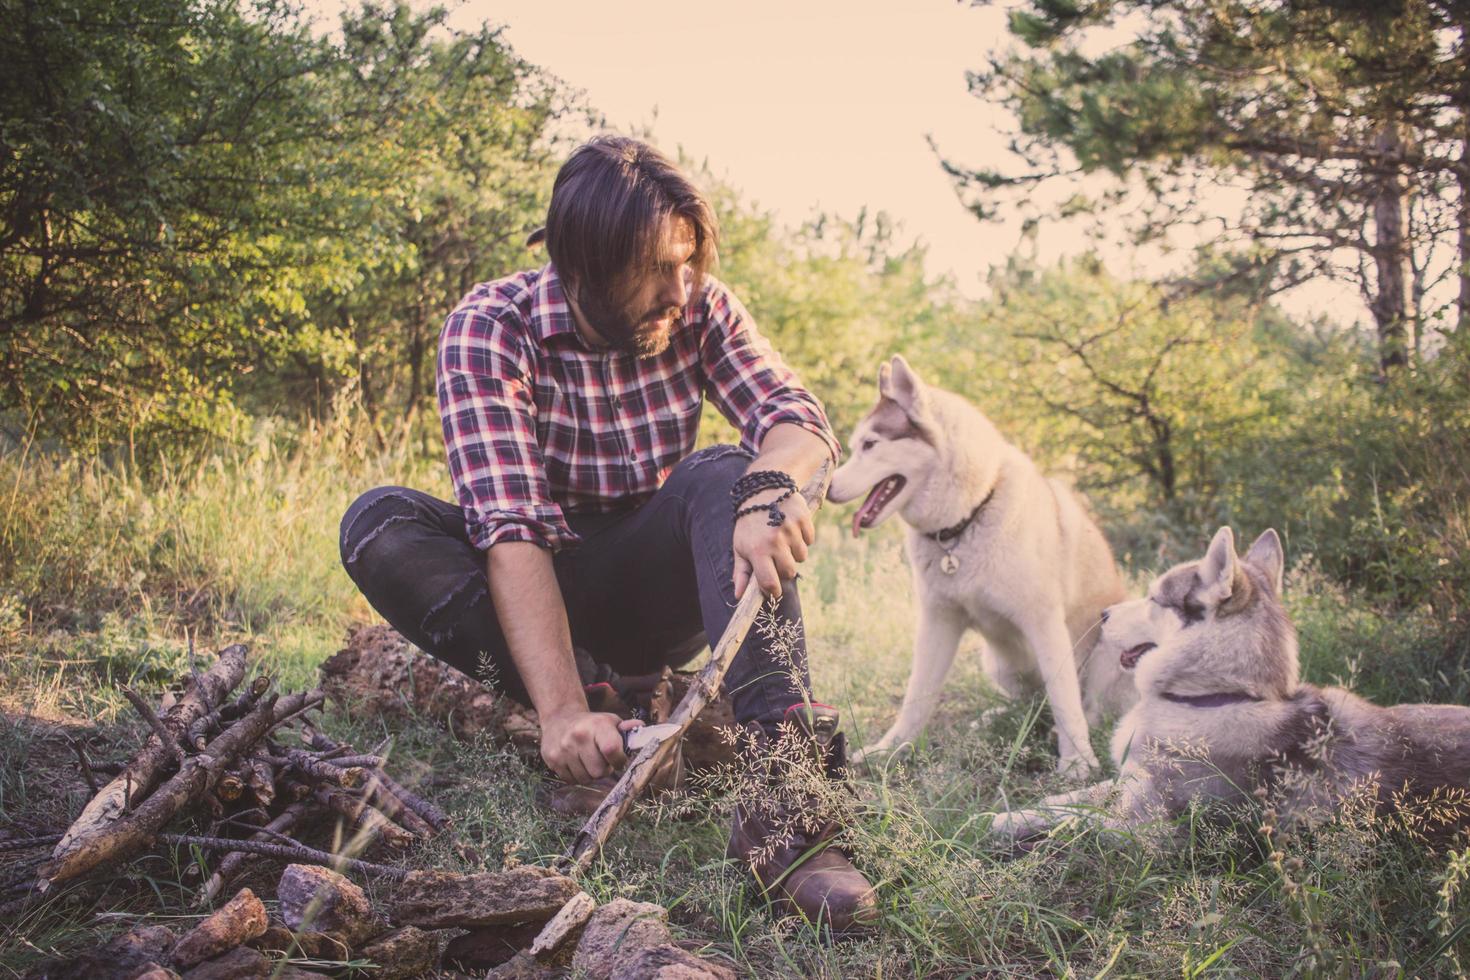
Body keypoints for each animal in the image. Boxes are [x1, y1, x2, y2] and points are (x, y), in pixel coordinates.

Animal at [829, 357, 1134, 775]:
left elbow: (1066, 701)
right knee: (1029, 705)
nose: (828, 488)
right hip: (1000, 664)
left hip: (1106, 647)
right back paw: (997, 718)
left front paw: (1077, 762)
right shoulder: (938, 622)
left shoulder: (1044, 623)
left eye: (870, 445)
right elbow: (917, 697)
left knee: (1083, 707)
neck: (964, 523)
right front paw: (892, 750)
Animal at [987, 528, 1470, 846]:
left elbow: (1077, 821)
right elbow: (1066, 799)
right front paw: (1004, 815)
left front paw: (1010, 827)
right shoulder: (1127, 782)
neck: (1214, 699)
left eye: (1153, 598)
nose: (1103, 614)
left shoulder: (1142, 827)